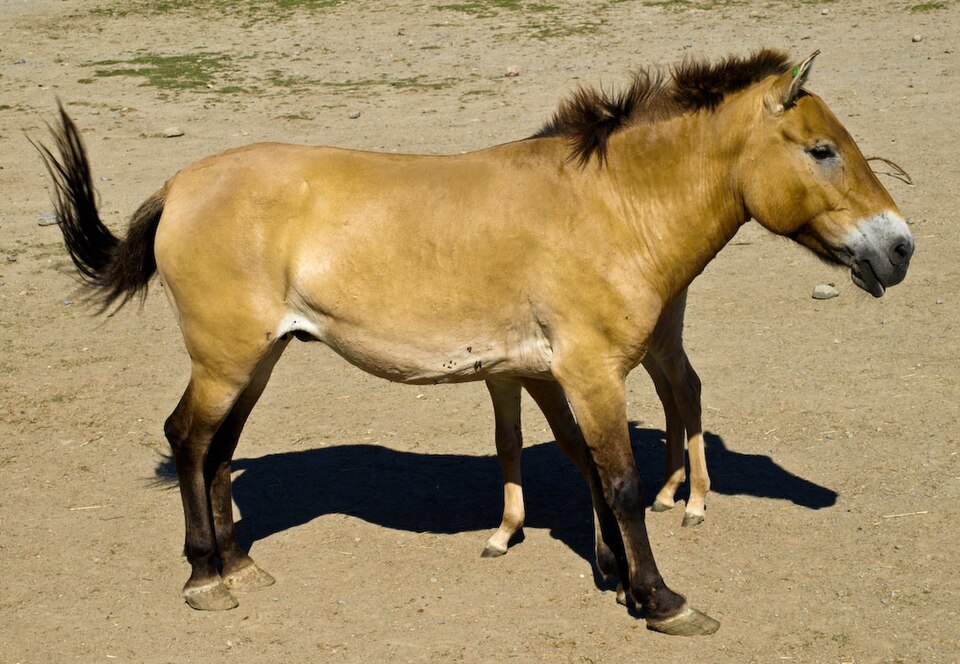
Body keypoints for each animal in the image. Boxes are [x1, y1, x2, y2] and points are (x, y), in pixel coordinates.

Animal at [36, 48, 913, 637]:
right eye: (821, 150)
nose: (900, 248)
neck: (609, 207)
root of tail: (181, 184)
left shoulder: (552, 374)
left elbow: (588, 472)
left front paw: (618, 579)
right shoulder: (591, 373)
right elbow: (622, 483)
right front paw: (662, 599)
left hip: (258, 357)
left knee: (217, 450)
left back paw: (239, 563)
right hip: (226, 358)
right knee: (187, 439)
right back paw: (204, 578)